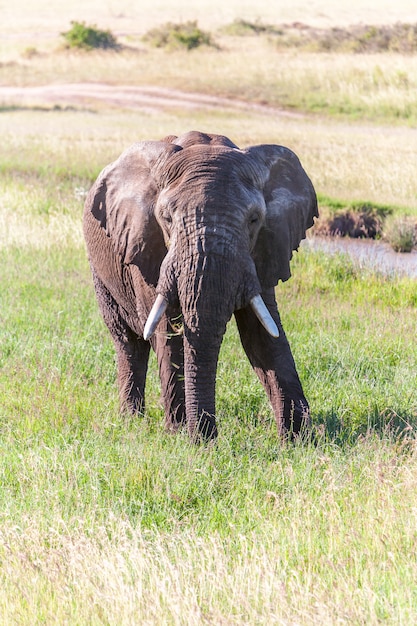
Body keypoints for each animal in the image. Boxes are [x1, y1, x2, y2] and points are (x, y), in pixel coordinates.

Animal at [84, 129, 318, 438]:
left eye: (254, 219)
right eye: (167, 218)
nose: (206, 439)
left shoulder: (263, 250)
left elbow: (263, 333)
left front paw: (299, 439)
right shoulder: (148, 247)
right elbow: (167, 334)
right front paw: (179, 435)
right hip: (101, 270)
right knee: (128, 342)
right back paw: (131, 420)